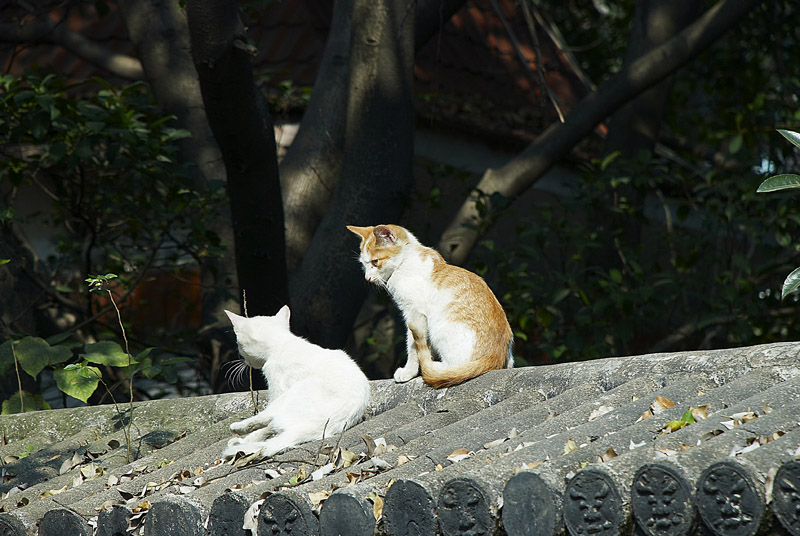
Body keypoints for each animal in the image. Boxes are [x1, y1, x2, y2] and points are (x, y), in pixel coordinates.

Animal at [222, 308, 372, 458]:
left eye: (238, 345)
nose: (244, 360)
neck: (283, 343)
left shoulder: (277, 387)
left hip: (292, 393)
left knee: (267, 418)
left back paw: (238, 428)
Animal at [346, 224, 512, 388]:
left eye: (375, 262)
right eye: (363, 264)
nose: (367, 278)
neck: (405, 262)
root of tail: (496, 356)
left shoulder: (414, 314)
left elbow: (412, 346)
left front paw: (409, 372)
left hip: (439, 328)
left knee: (453, 367)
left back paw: (436, 366)